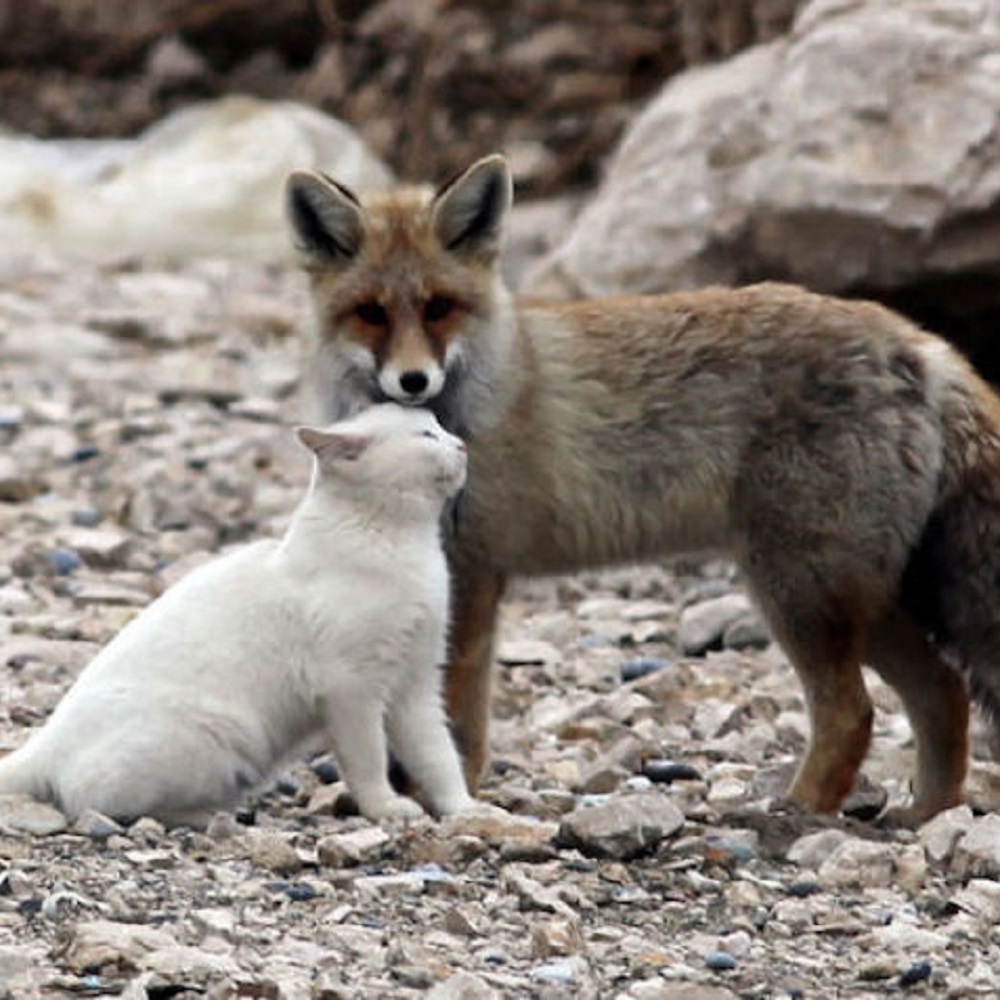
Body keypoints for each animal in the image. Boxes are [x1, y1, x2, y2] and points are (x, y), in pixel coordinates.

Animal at [0, 402, 472, 824]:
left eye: (440, 426)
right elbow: (369, 761)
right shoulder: (350, 690)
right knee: (96, 803)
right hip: (218, 734)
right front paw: (386, 809)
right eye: (426, 435)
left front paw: (466, 810)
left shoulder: (416, 685)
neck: (404, 544)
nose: (463, 444)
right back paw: (208, 815)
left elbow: (439, 758)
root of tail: (46, 741)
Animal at [284, 154, 1000, 820]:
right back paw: (927, 814)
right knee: (942, 691)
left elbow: (454, 717)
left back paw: (795, 813)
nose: (413, 381)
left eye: (439, 308)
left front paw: (447, 796)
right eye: (370, 314)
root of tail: (920, 343)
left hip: (801, 592)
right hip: (860, 599)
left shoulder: (475, 571)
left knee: (853, 713)